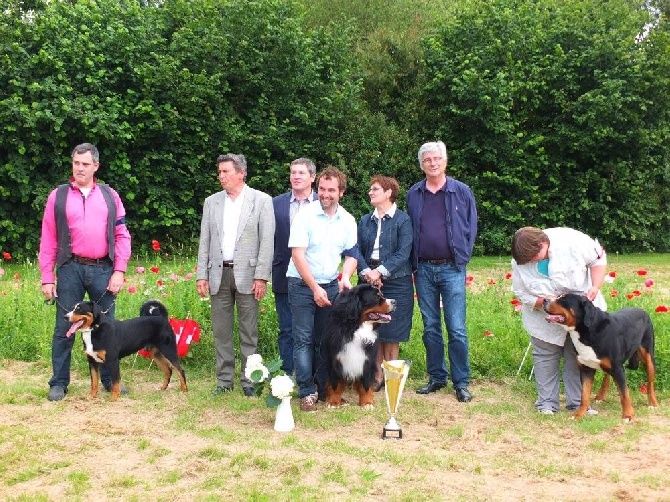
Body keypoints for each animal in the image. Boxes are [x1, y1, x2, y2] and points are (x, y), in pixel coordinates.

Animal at [544, 292, 660, 422]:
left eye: (563, 300)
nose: (544, 300)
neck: (587, 332)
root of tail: (641, 310)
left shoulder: (618, 368)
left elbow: (624, 394)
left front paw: (628, 415)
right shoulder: (586, 369)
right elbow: (584, 395)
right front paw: (579, 414)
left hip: (648, 356)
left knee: (650, 382)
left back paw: (653, 403)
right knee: (607, 375)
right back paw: (600, 396)